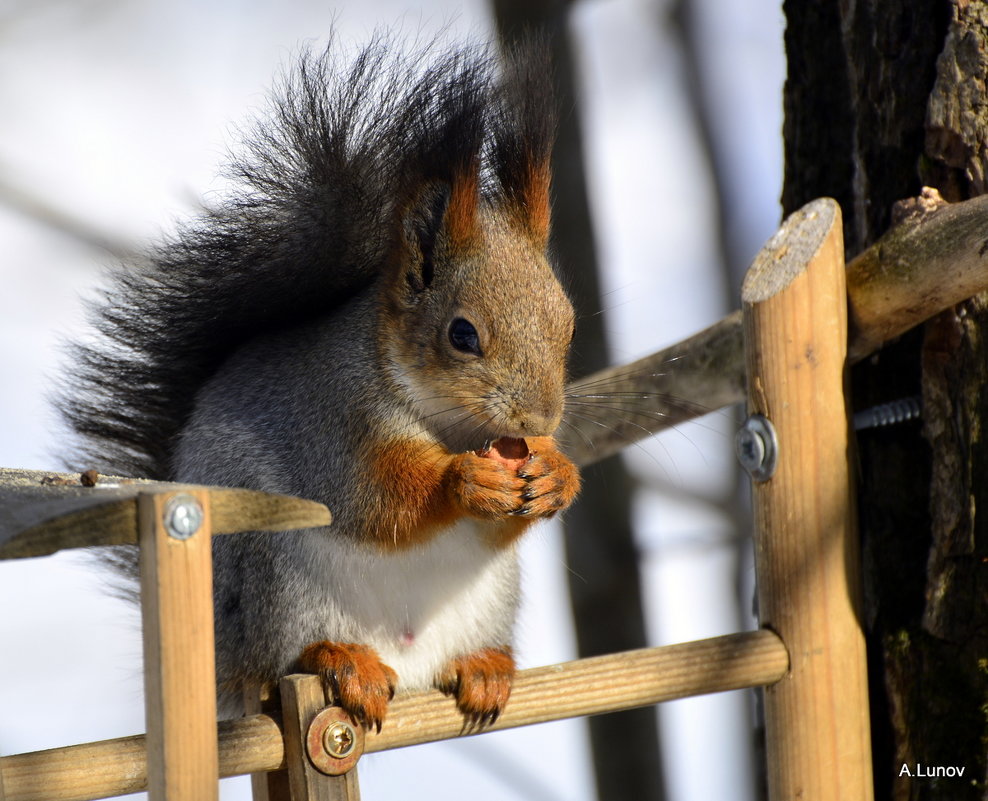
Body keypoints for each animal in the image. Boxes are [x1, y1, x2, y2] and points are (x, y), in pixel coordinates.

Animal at [61, 32, 580, 732]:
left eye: (568, 322)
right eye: (462, 334)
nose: (538, 421)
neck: (446, 422)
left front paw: (556, 474)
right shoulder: (335, 421)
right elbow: (375, 498)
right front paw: (462, 481)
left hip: (489, 594)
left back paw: (483, 667)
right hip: (273, 578)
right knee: (282, 661)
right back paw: (342, 662)